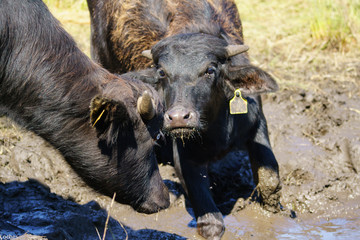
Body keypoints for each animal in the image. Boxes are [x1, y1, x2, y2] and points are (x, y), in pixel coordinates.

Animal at [86, 0, 282, 238]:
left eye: (210, 70)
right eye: (162, 72)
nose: (179, 117)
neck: (216, 129)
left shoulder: (256, 122)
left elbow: (271, 179)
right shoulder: (184, 156)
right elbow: (211, 221)